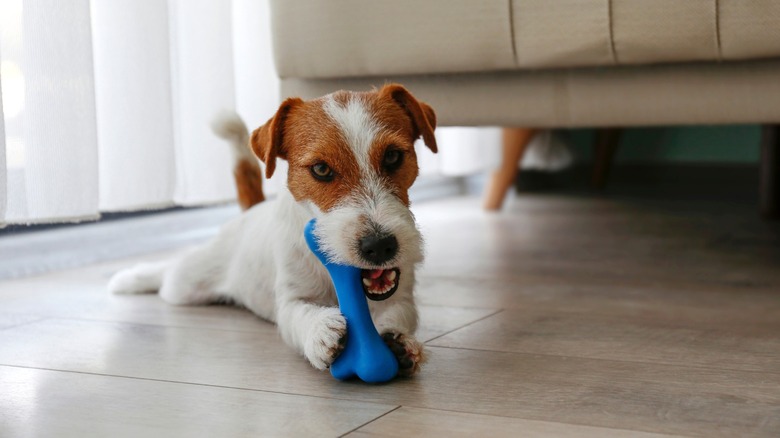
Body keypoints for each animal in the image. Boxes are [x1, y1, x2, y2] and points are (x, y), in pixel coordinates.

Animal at [108, 83, 438, 376]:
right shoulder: (290, 298)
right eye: (321, 169)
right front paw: (320, 329)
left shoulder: (401, 297)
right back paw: (130, 278)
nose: (379, 246)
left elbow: (400, 313)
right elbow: (298, 314)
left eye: (393, 156)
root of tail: (250, 212)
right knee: (168, 273)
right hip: (187, 284)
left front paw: (398, 341)